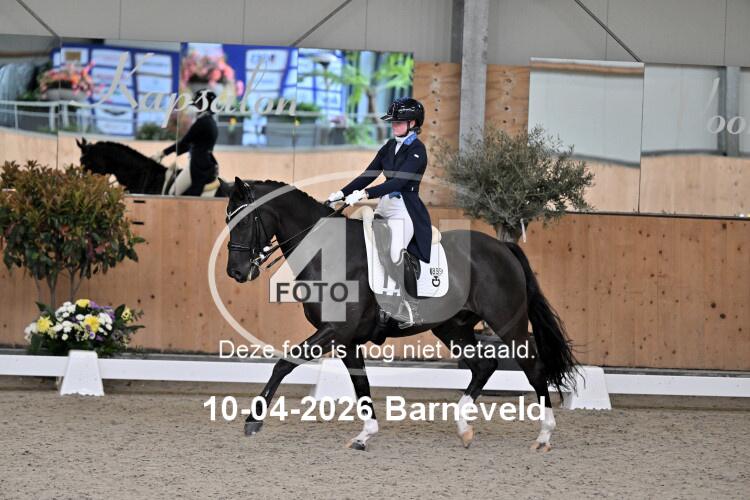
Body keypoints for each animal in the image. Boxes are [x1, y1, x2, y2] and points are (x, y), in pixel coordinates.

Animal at [225, 177, 579, 452]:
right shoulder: (346, 340)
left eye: (243, 222)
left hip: (508, 323)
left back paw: (544, 436)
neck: (329, 252)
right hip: (453, 327)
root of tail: (503, 247)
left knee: (533, 368)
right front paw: (364, 436)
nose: (236, 272)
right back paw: (463, 427)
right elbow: (361, 385)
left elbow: (284, 363)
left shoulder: (335, 331)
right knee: (484, 365)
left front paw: (253, 421)